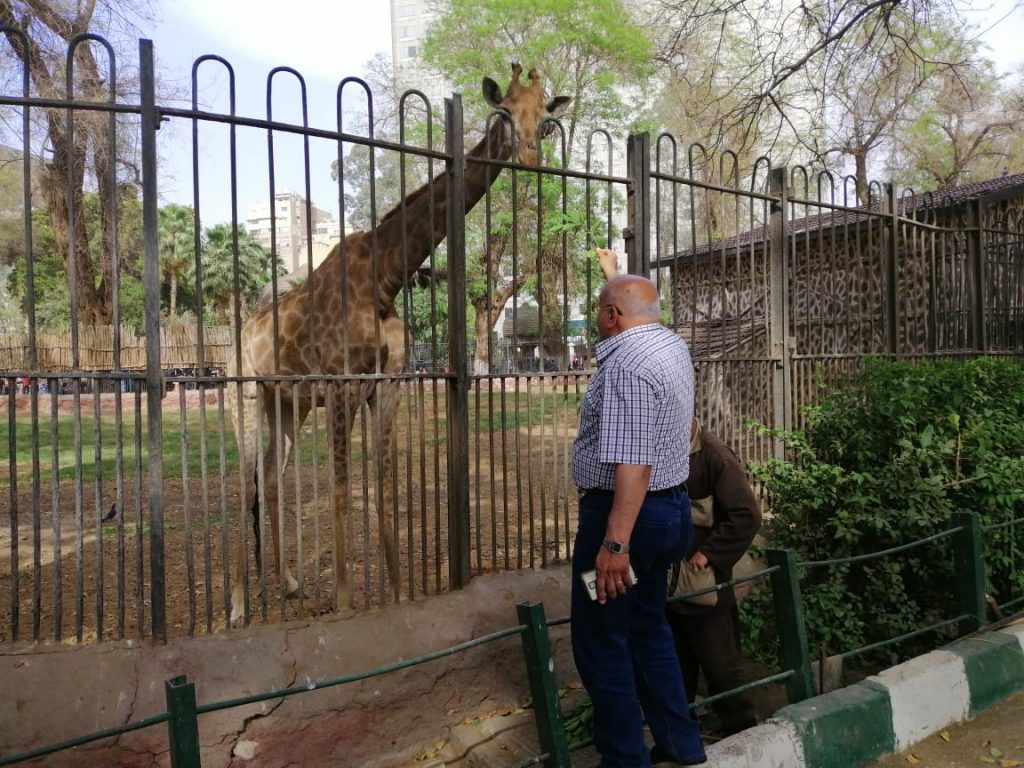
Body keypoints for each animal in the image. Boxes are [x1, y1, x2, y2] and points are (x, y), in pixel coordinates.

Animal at [227, 60, 573, 626]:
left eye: (545, 118)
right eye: (502, 111)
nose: (527, 155)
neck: (385, 278)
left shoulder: (386, 385)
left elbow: (385, 485)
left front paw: (394, 594)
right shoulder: (343, 385)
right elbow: (343, 490)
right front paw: (348, 604)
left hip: (289, 404)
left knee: (271, 480)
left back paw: (291, 584)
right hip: (247, 395)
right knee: (244, 483)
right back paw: (238, 605)